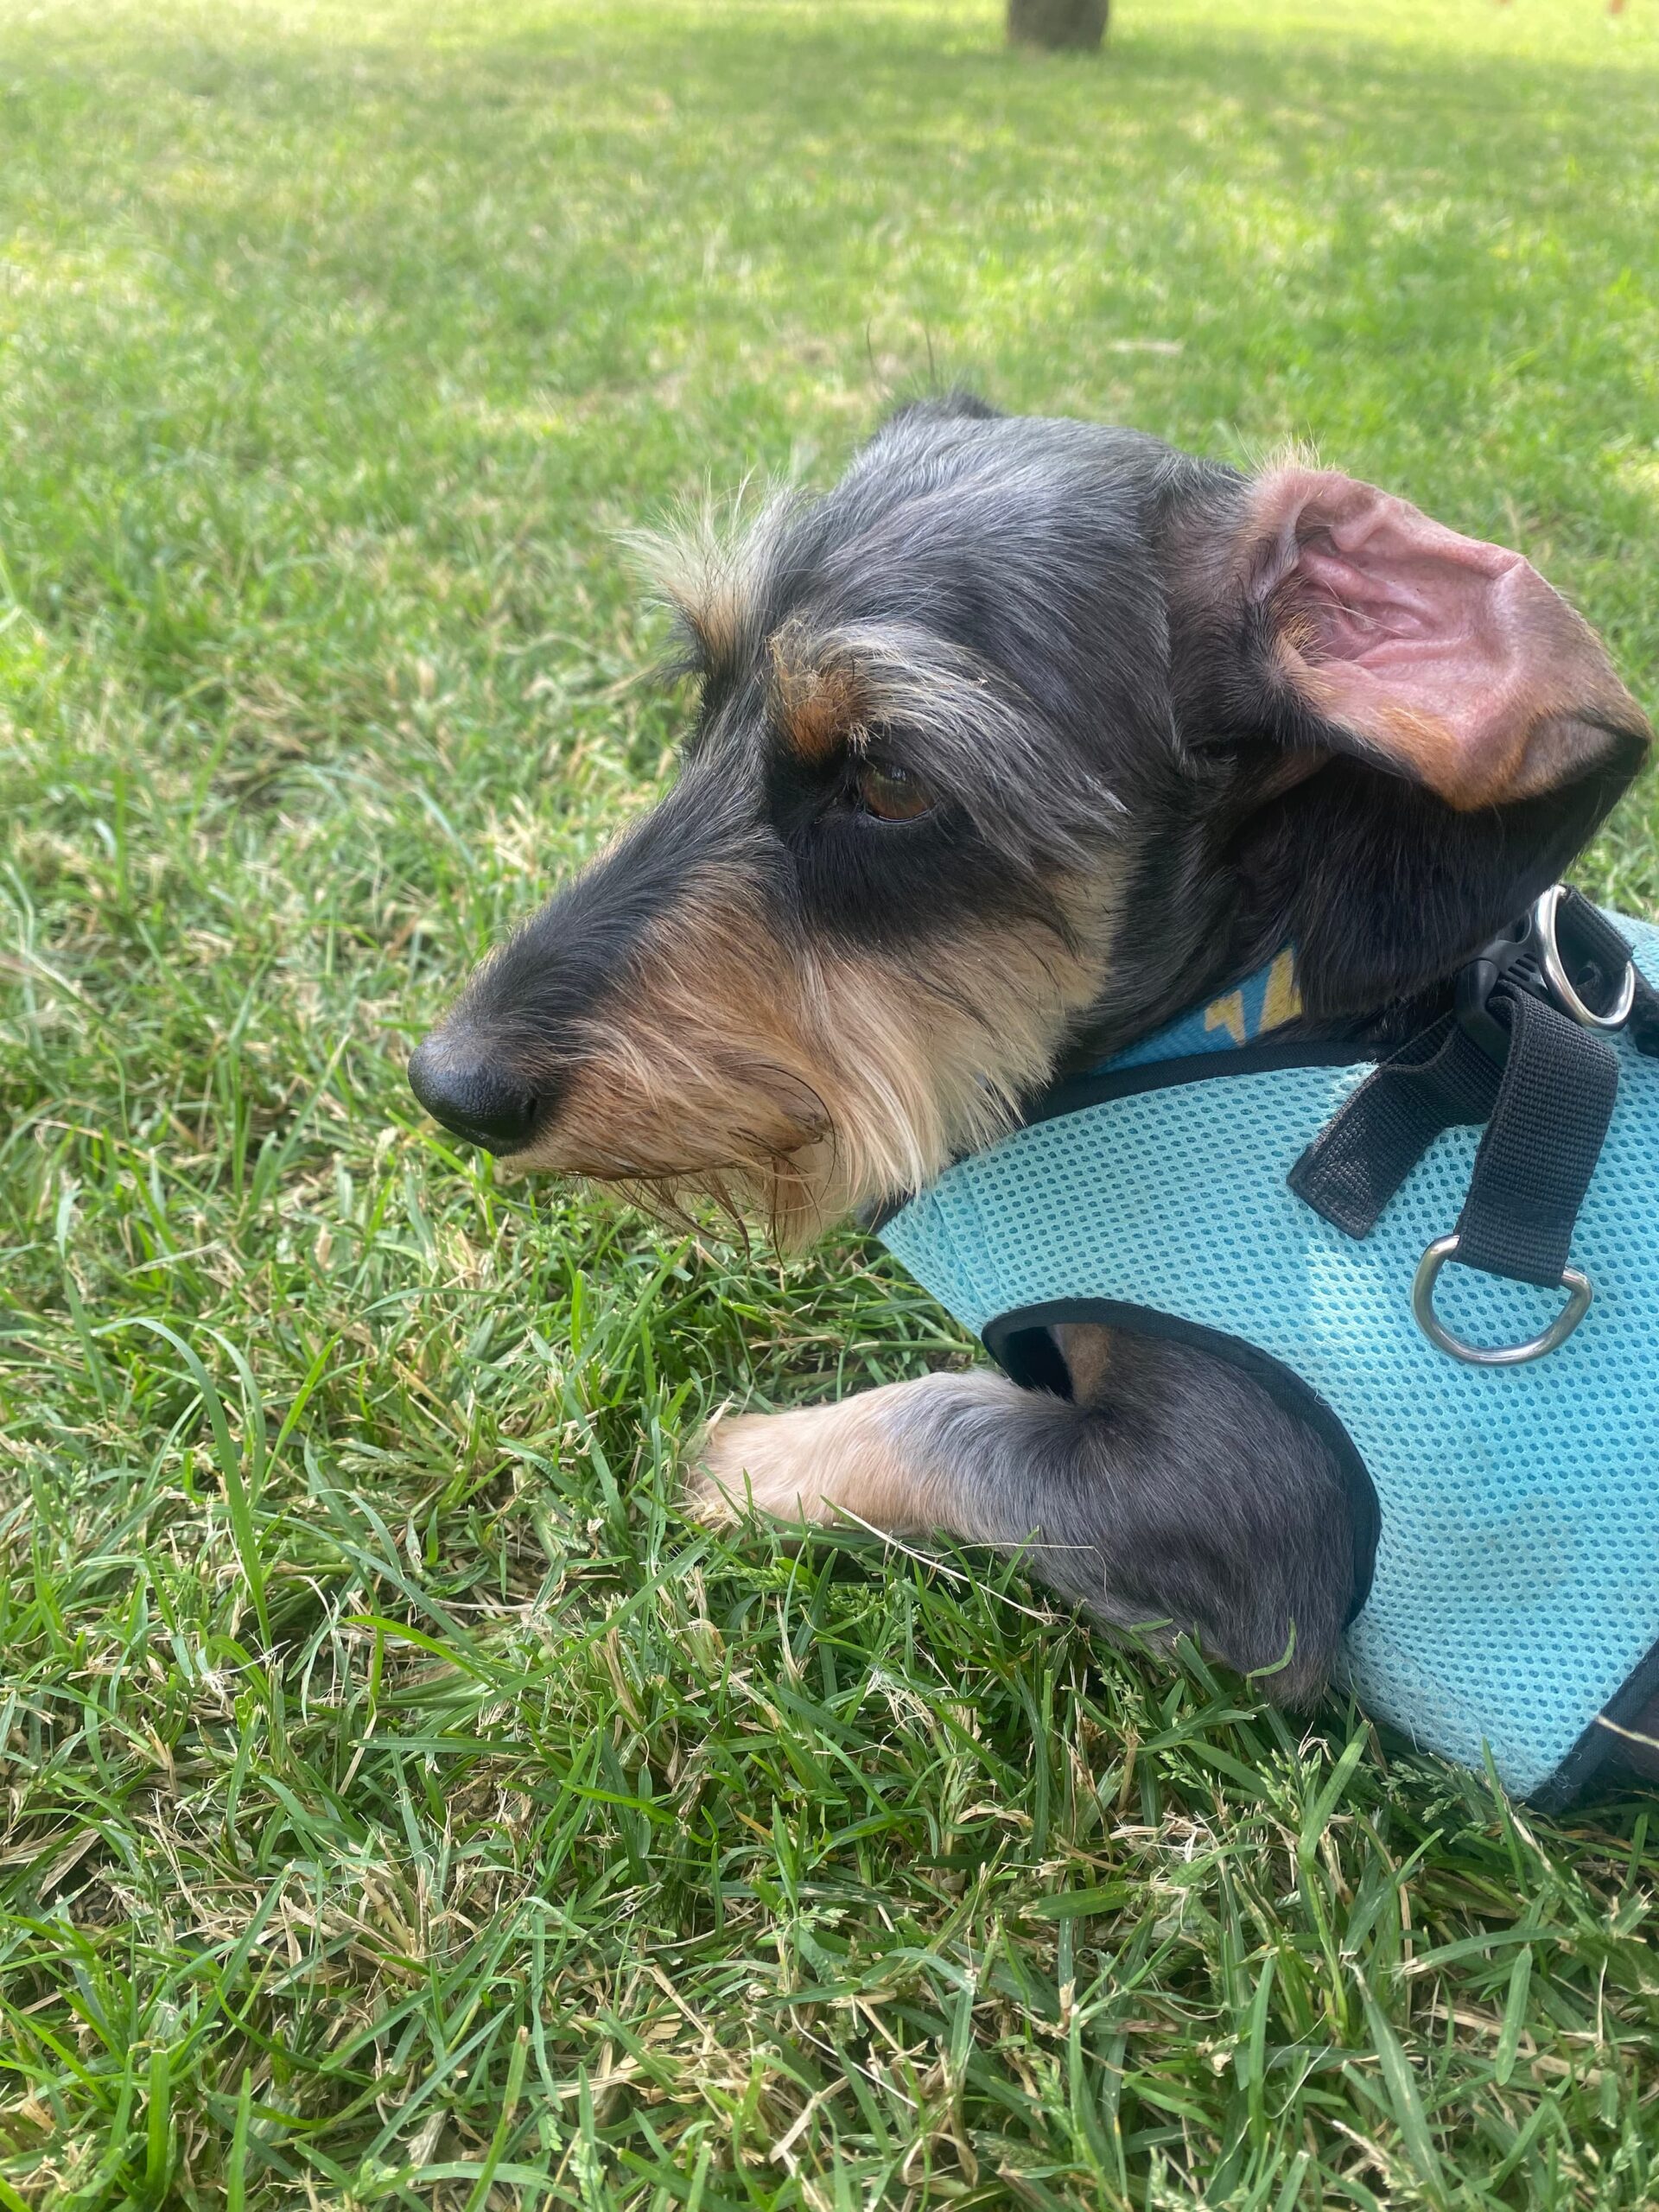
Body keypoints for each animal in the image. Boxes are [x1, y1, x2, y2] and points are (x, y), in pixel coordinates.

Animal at [407, 397, 1659, 1804]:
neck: (1252, 1015)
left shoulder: (1249, 1537)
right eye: (704, 687)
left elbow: (944, 1416)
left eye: (892, 785)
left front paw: (746, 1462)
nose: (450, 1085)